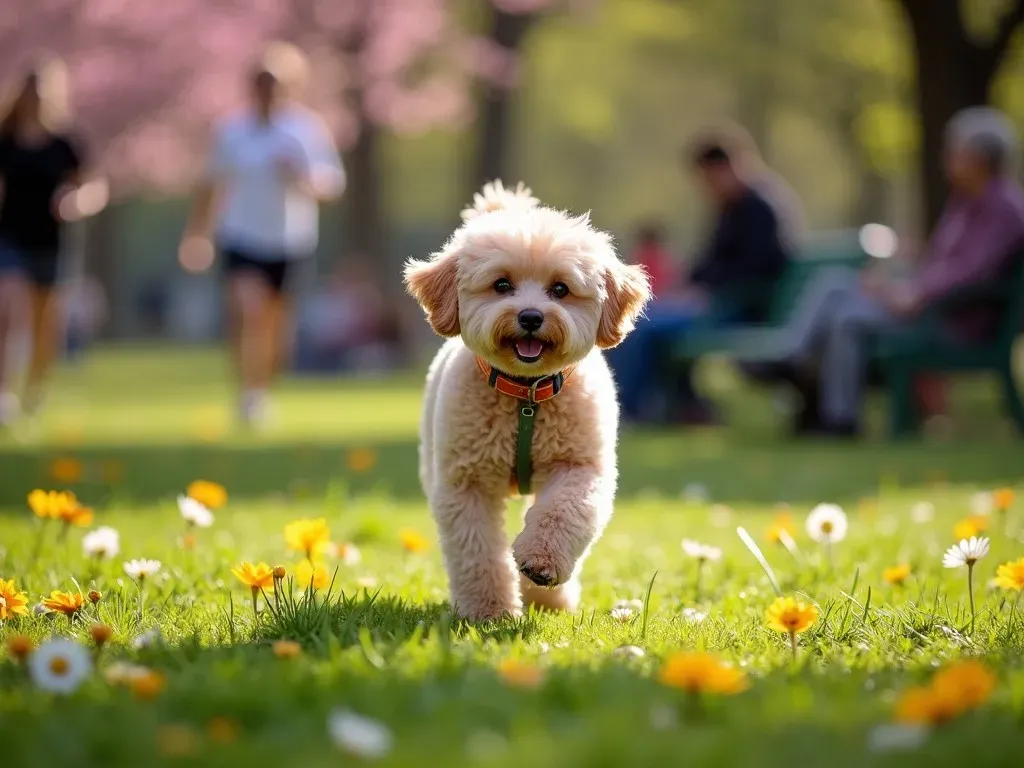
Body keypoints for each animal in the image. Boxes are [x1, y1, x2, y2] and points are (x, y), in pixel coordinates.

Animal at [401, 183, 647, 622]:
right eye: (501, 285)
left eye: (560, 289)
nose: (531, 317)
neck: (526, 397)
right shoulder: (466, 485)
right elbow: (478, 552)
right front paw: (488, 612)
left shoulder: (580, 467)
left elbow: (566, 512)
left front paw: (540, 564)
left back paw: (550, 599)